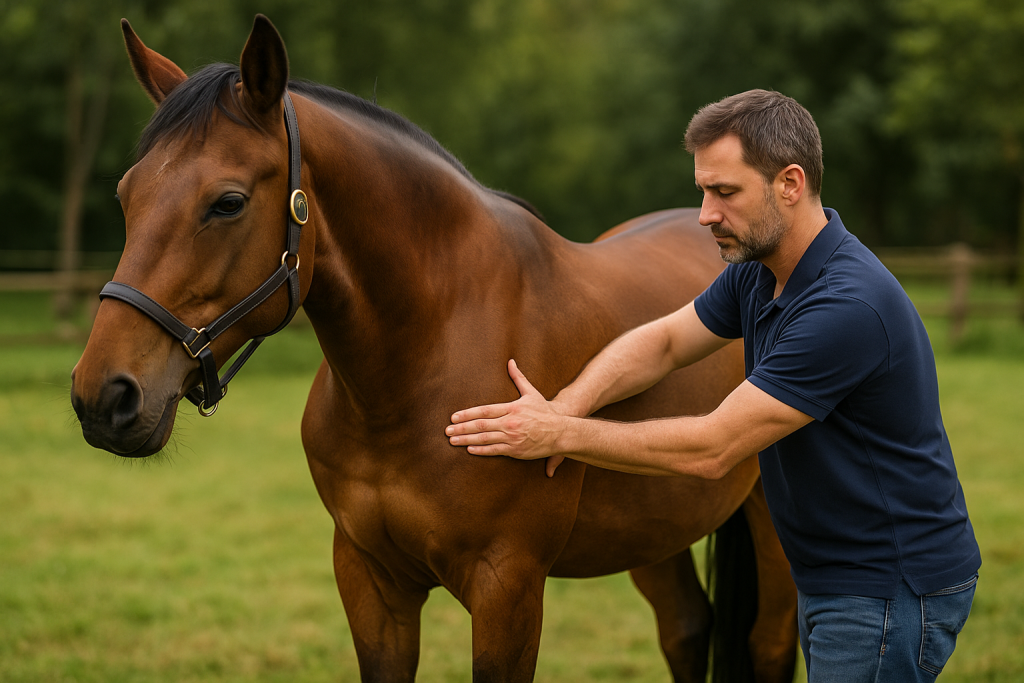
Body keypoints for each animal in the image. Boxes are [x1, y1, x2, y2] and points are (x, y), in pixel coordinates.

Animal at [70, 15, 798, 683]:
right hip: (654, 530)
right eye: (126, 194)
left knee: (769, 642)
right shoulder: (370, 580)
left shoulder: (507, 587)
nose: (103, 396)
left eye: (227, 202)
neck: (421, 363)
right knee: (686, 628)